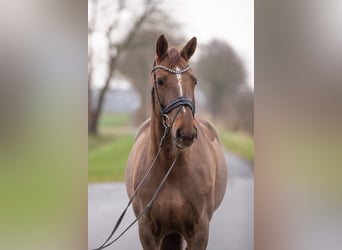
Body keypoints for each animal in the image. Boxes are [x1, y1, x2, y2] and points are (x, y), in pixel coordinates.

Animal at [125, 34, 227, 250]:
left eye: (194, 81)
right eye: (161, 80)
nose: (186, 133)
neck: (170, 168)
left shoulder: (199, 233)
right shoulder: (147, 233)